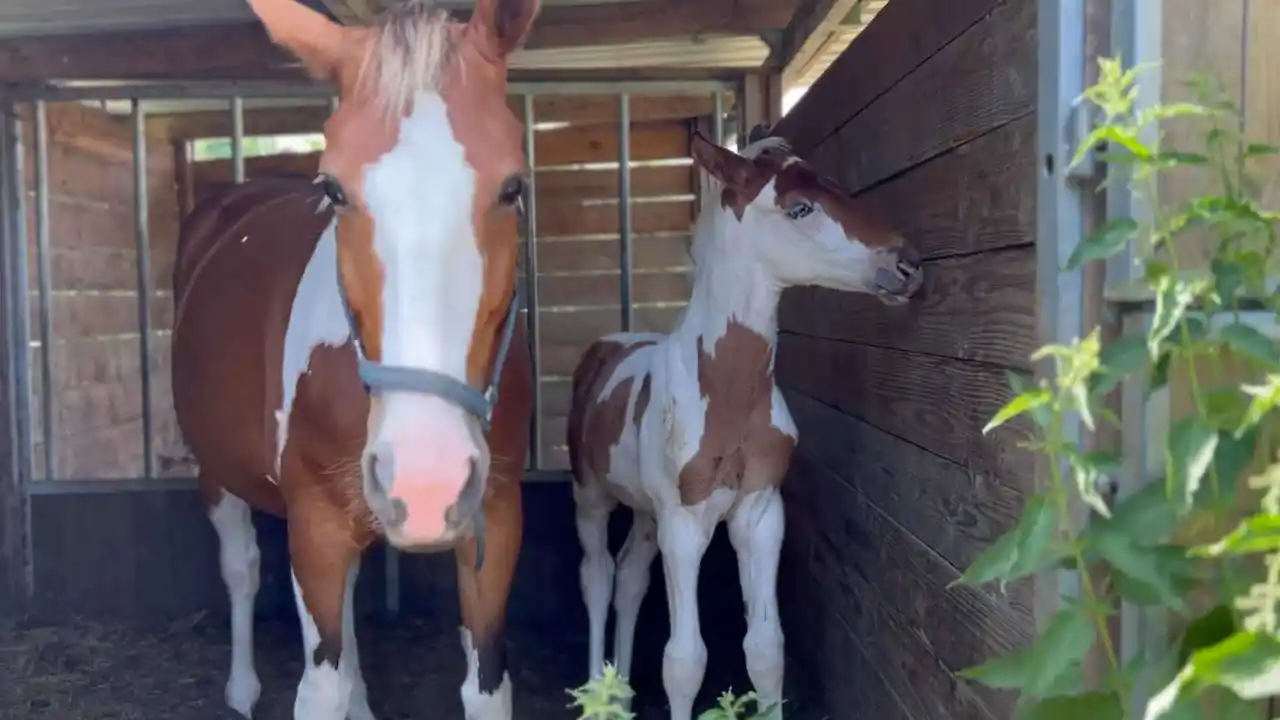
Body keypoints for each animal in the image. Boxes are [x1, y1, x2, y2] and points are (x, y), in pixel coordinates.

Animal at [170, 0, 539, 717]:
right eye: (334, 190)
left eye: (513, 187)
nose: (425, 482)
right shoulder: (314, 526)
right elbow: (321, 685)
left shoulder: (497, 519)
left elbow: (486, 685)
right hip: (219, 473)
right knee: (242, 568)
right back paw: (241, 688)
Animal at [565, 132, 925, 719]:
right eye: (799, 208)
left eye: (838, 187)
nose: (908, 265)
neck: (728, 392)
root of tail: (606, 347)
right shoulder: (685, 522)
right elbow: (684, 661)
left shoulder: (759, 513)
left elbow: (765, 650)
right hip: (592, 496)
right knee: (597, 577)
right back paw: (598, 695)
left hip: (646, 512)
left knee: (630, 577)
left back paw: (620, 690)